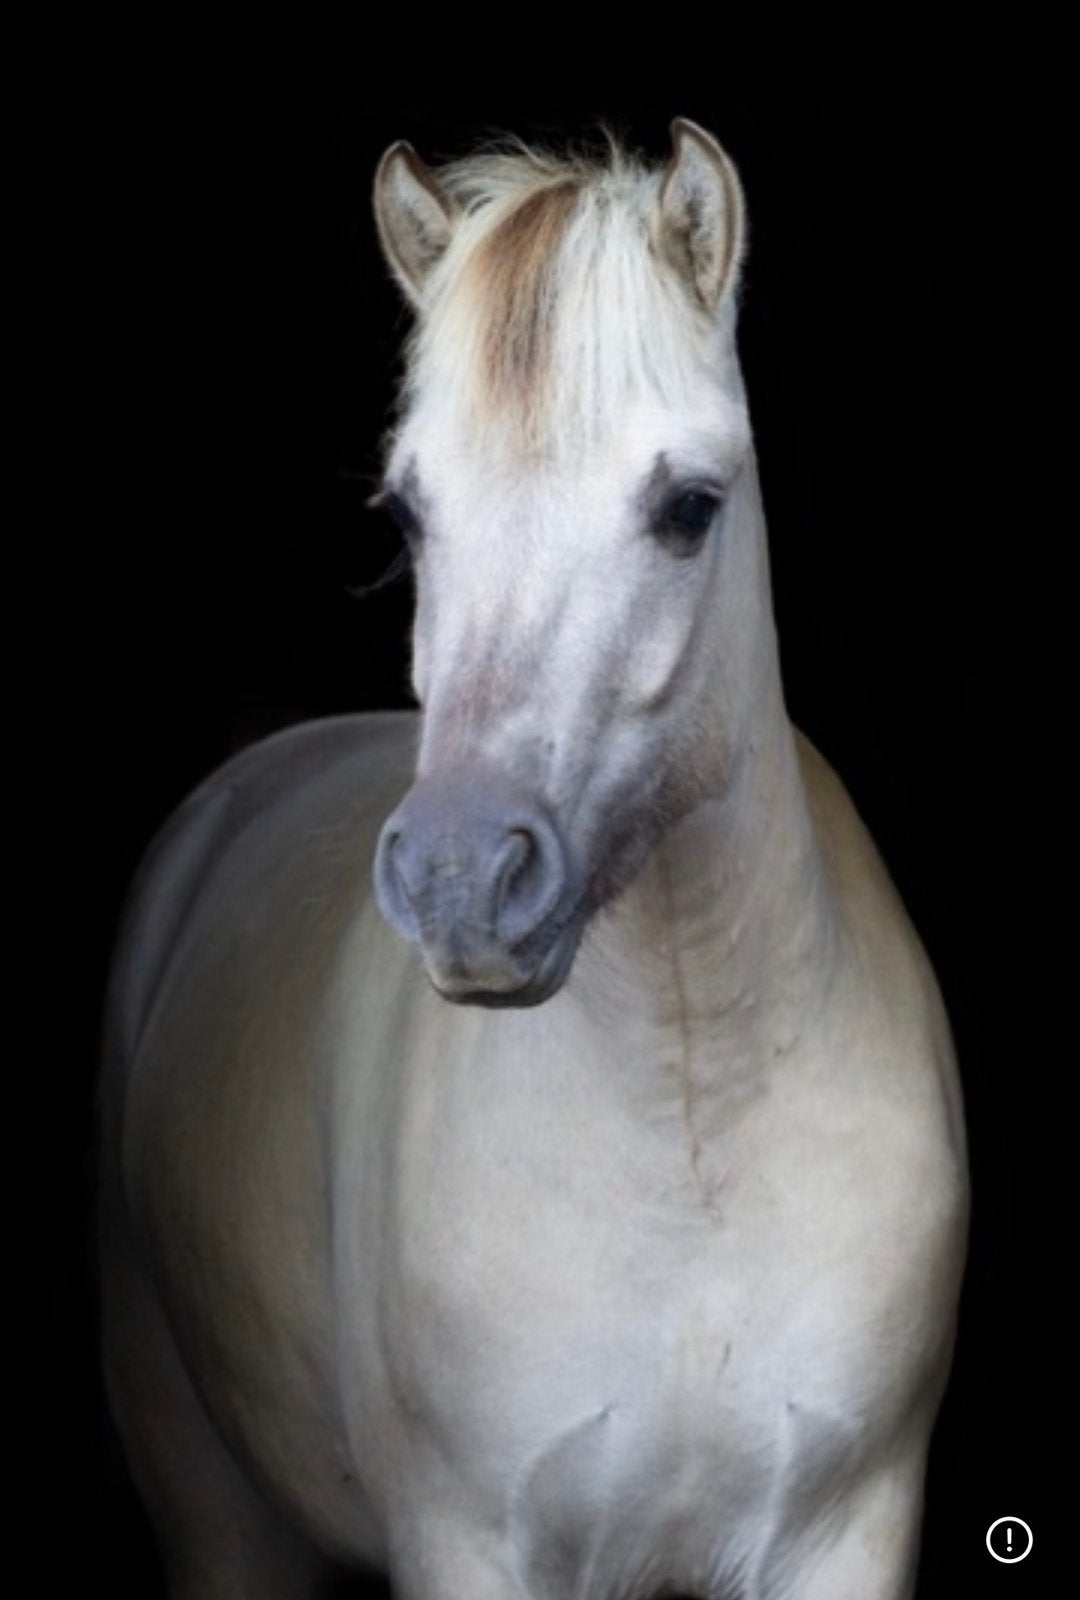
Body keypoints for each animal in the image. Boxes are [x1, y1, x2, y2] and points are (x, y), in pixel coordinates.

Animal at [99, 119, 968, 1599]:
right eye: (408, 514)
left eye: (688, 507)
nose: (461, 881)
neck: (690, 1132)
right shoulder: (469, 1543)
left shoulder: (845, 1536)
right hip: (213, 1508)